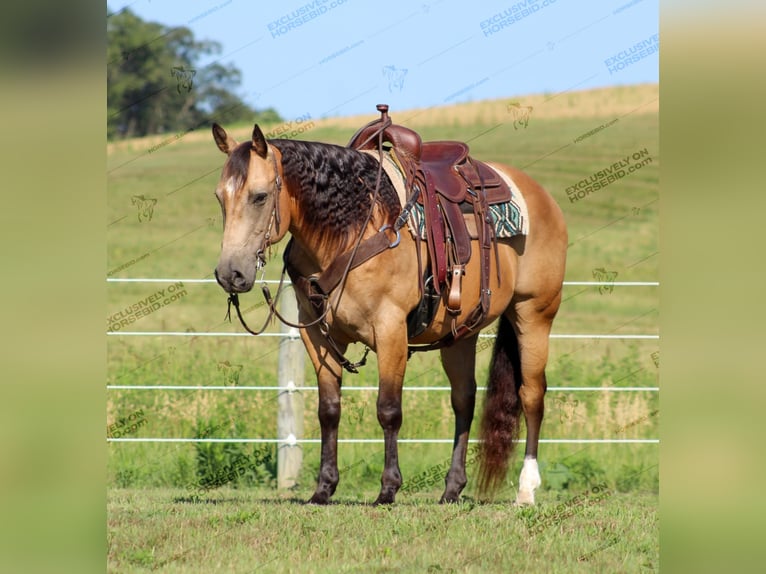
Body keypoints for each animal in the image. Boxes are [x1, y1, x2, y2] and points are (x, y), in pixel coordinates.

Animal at [213, 106, 568, 506]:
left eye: (259, 197)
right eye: (220, 198)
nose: (230, 274)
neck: (353, 229)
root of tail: (542, 198)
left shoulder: (390, 329)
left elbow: (388, 409)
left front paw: (388, 488)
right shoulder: (317, 336)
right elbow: (328, 410)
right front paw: (324, 488)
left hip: (534, 314)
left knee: (532, 395)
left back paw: (526, 488)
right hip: (461, 334)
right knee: (463, 399)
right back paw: (452, 488)